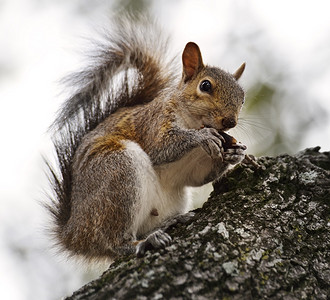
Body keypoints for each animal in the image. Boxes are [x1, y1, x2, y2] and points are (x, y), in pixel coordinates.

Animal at [46, 16, 248, 262]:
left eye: (242, 97)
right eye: (205, 85)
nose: (230, 122)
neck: (193, 121)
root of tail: (74, 233)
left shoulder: (193, 167)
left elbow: (197, 177)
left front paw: (235, 154)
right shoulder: (152, 124)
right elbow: (160, 147)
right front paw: (202, 136)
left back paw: (169, 223)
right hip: (116, 172)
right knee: (114, 243)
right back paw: (142, 243)